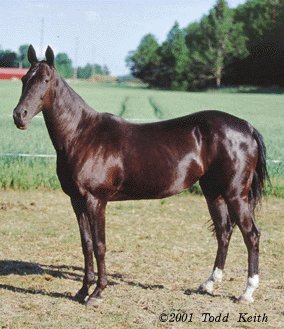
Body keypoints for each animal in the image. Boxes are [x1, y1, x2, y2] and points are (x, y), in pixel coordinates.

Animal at [12, 44, 268, 306]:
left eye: (45, 80)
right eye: (24, 79)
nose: (19, 115)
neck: (82, 134)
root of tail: (247, 127)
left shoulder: (96, 200)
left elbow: (100, 245)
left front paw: (97, 292)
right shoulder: (77, 200)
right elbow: (86, 245)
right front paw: (83, 290)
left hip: (236, 195)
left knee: (251, 234)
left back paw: (247, 292)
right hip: (214, 193)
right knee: (224, 232)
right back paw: (209, 284)